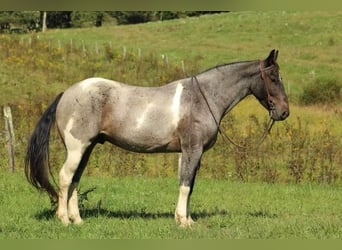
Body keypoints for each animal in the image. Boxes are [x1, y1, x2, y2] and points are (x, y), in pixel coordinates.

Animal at [25, 49, 288, 227]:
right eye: (274, 78)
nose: (284, 112)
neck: (201, 98)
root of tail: (67, 93)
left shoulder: (189, 153)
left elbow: (188, 185)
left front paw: (185, 219)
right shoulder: (192, 150)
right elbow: (185, 185)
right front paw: (183, 221)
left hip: (87, 148)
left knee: (75, 180)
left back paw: (77, 219)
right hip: (77, 148)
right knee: (65, 177)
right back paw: (63, 219)